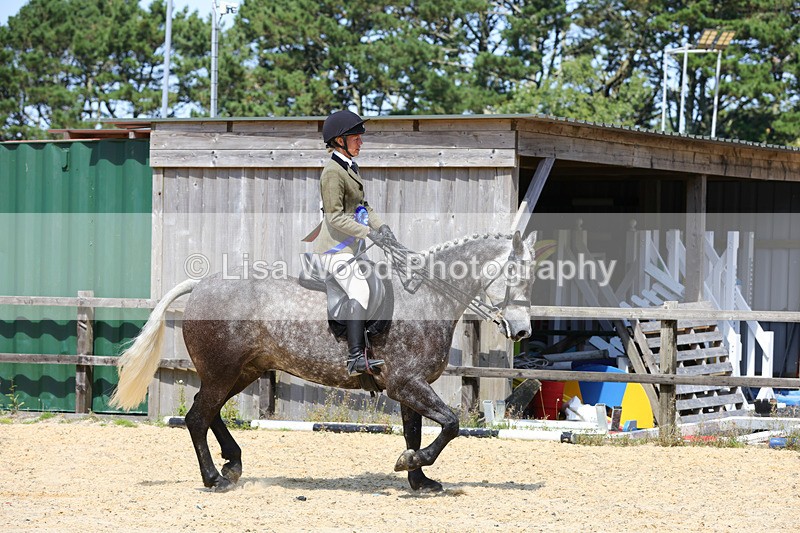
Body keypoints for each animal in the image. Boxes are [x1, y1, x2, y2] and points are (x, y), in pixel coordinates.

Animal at [111, 231, 536, 493]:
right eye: (515, 274)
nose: (522, 331)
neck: (426, 297)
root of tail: (201, 285)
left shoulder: (409, 387)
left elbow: (415, 432)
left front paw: (419, 479)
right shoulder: (407, 384)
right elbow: (451, 424)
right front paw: (410, 464)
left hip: (240, 372)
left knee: (208, 411)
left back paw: (232, 464)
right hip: (223, 372)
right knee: (198, 417)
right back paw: (215, 478)